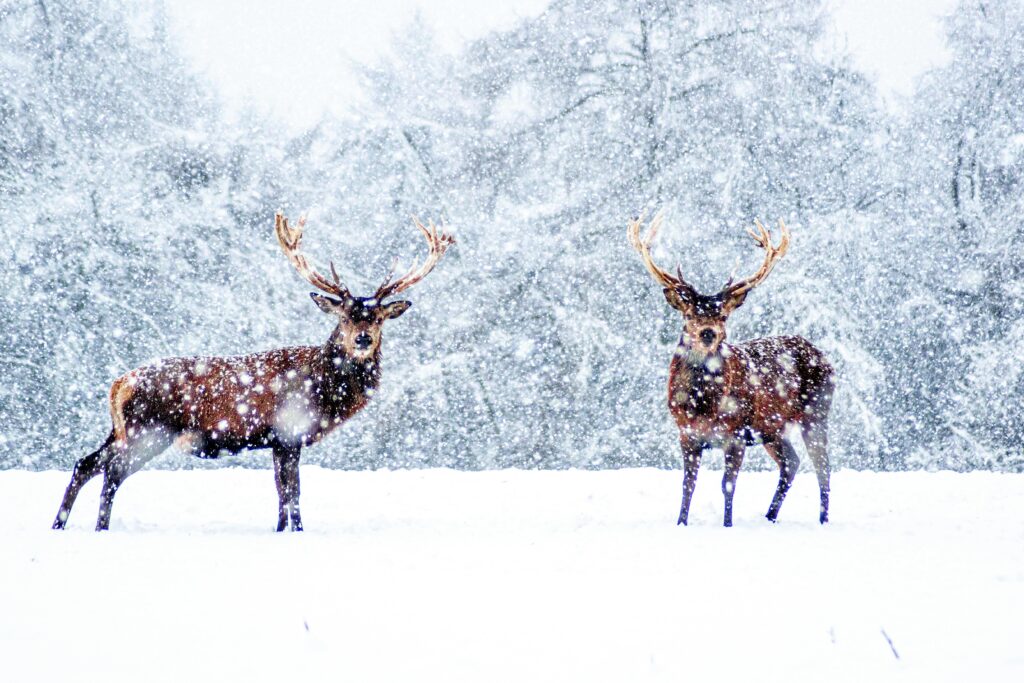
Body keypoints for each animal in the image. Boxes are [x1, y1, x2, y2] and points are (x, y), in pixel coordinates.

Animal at [53, 212, 454, 531]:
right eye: (343, 317)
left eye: (378, 318)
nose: (363, 338)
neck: (323, 390)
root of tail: (118, 384)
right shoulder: (290, 431)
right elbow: (292, 493)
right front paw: (297, 532)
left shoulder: (278, 441)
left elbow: (281, 494)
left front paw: (280, 532)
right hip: (148, 430)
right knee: (111, 473)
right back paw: (99, 528)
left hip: (121, 430)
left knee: (85, 463)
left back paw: (59, 525)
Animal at [628, 212, 834, 527]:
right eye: (689, 314)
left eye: (723, 315)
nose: (708, 333)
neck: (701, 404)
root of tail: (824, 358)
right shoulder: (686, 433)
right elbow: (688, 483)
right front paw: (681, 523)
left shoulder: (735, 433)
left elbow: (728, 485)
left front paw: (727, 525)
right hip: (772, 428)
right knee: (791, 462)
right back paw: (769, 517)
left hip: (816, 411)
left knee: (822, 466)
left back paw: (822, 520)